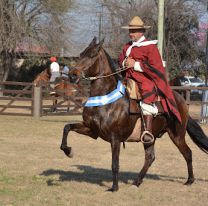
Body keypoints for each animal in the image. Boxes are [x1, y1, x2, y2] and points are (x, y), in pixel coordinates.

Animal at [60, 37, 208, 192]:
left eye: (92, 55)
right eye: (81, 54)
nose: (72, 75)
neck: (104, 99)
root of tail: (180, 100)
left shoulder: (115, 138)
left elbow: (115, 163)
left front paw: (114, 187)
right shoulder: (92, 130)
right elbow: (67, 127)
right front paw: (68, 150)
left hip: (177, 134)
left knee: (187, 153)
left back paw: (190, 180)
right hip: (151, 139)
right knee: (150, 157)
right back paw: (137, 182)